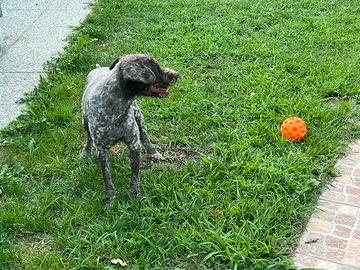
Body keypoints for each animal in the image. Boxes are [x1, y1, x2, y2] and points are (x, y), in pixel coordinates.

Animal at [81, 53, 178, 204]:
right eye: (155, 67)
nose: (177, 74)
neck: (116, 108)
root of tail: (98, 68)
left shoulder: (134, 145)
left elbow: (134, 176)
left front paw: (135, 195)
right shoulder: (101, 150)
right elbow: (107, 178)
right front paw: (110, 199)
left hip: (139, 117)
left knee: (145, 136)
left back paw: (153, 152)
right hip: (84, 121)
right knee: (88, 138)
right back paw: (86, 152)